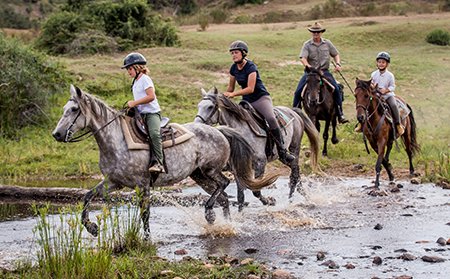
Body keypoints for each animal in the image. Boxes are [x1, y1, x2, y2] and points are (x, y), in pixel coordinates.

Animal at [51, 85, 278, 238]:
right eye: (63, 108)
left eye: (73, 110)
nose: (57, 134)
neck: (116, 140)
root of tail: (219, 130)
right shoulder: (113, 182)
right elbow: (88, 196)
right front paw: (92, 228)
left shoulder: (142, 184)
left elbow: (145, 213)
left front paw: (146, 239)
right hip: (199, 175)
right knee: (222, 198)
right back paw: (225, 224)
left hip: (210, 170)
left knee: (224, 184)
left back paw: (210, 215)